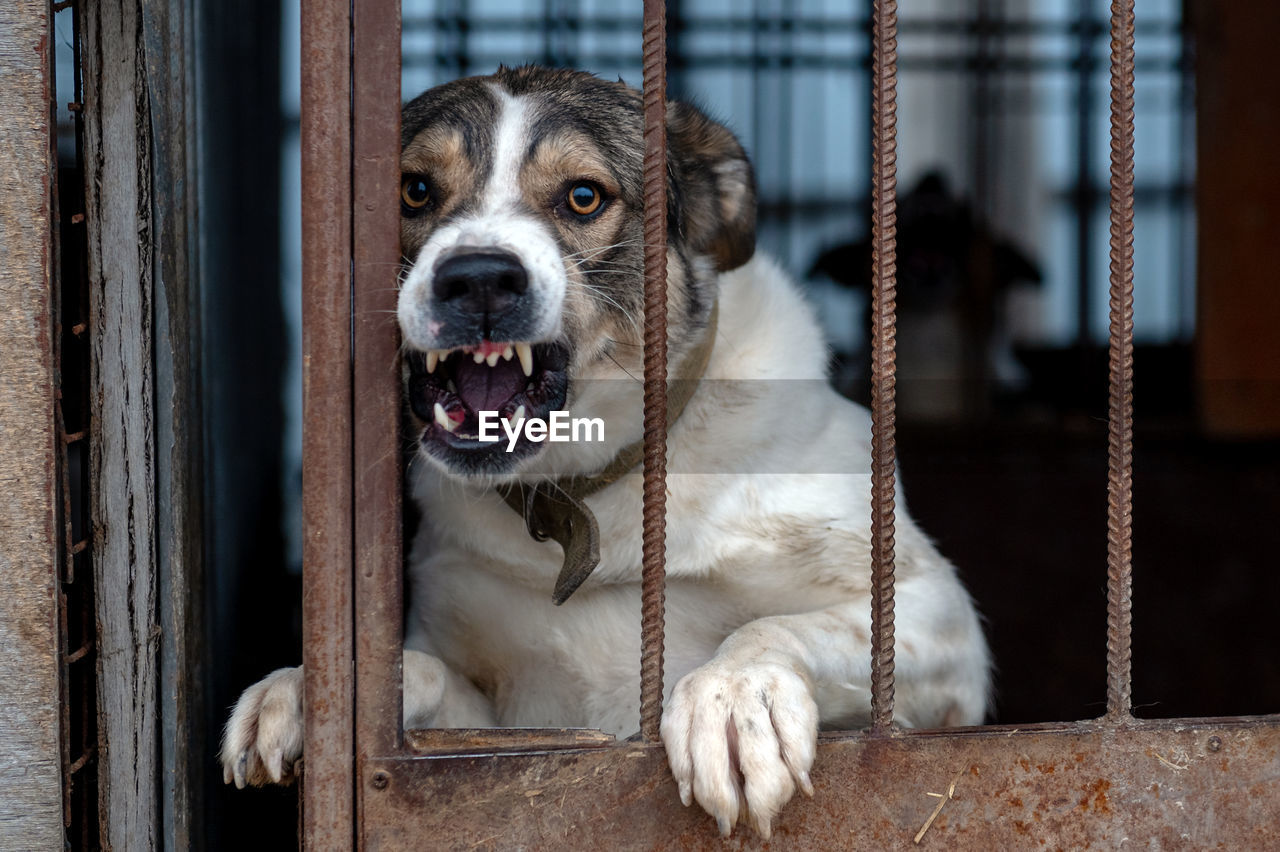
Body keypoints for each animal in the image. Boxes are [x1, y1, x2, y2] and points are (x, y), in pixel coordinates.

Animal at [220, 66, 988, 834]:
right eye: (414, 189)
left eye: (583, 196)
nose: (478, 279)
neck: (594, 486)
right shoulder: (504, 726)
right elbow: (417, 674)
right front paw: (306, 690)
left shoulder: (939, 624)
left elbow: (777, 626)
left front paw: (738, 694)